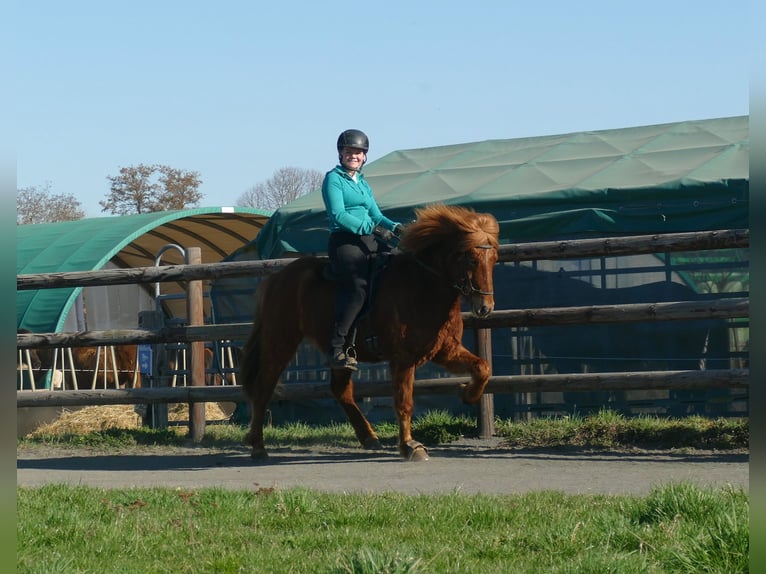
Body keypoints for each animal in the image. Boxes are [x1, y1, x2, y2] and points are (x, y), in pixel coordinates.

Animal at [239, 204, 500, 461]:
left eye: (494, 259)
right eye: (472, 259)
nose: (484, 308)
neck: (422, 285)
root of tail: (276, 278)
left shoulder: (444, 350)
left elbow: (482, 368)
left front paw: (466, 393)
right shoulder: (403, 359)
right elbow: (404, 402)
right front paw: (410, 446)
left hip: (341, 354)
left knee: (341, 390)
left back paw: (368, 436)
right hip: (280, 341)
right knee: (263, 388)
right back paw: (258, 446)